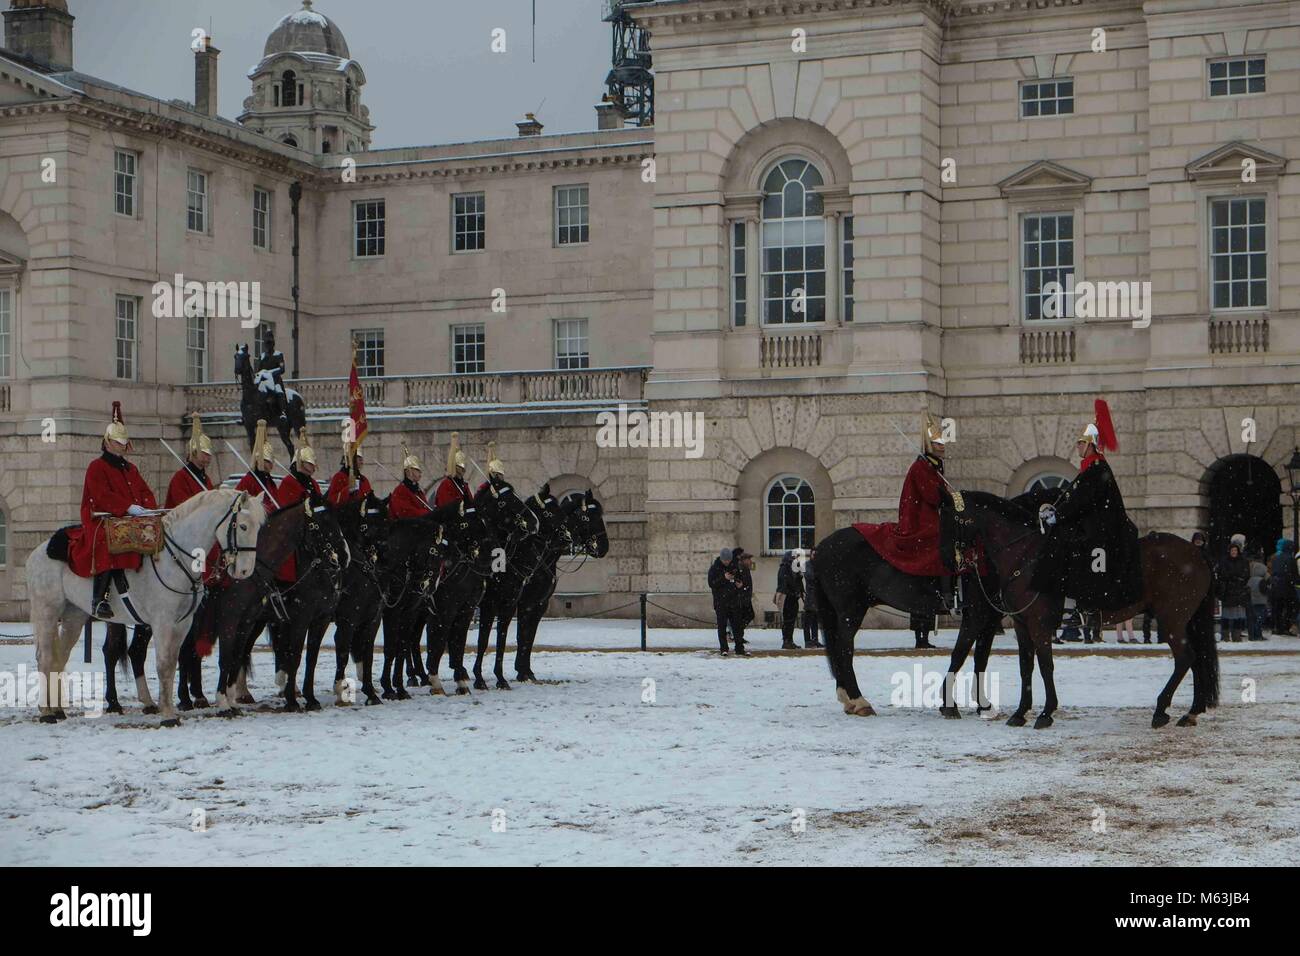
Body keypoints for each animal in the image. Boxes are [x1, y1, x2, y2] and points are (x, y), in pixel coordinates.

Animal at [27, 494, 266, 723]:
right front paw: (168, 715)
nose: (245, 571)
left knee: (60, 657)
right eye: (243, 526)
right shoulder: (163, 623)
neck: (176, 559)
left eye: (259, 527)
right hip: (47, 612)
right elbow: (165, 664)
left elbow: (173, 663)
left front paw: (169, 709)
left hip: (74, 616)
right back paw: (46, 712)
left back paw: (57, 709)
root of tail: (39, 551)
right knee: (45, 657)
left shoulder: (183, 624)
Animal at [506, 489, 608, 686]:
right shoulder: (525, 602)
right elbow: (523, 635)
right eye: (588, 517)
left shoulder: (539, 604)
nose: (604, 547)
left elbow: (529, 636)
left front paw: (526, 671)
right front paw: (522, 672)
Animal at [941, 489, 1211, 728]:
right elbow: (1025, 667)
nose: (949, 564)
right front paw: (1020, 713)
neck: (1024, 557)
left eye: (949, 518)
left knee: (1185, 658)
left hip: (1171, 619)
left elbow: (1045, 666)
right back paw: (1191, 712)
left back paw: (1162, 709)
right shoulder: (1021, 624)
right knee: (1196, 659)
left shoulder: (1038, 624)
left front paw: (1046, 713)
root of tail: (1196, 553)